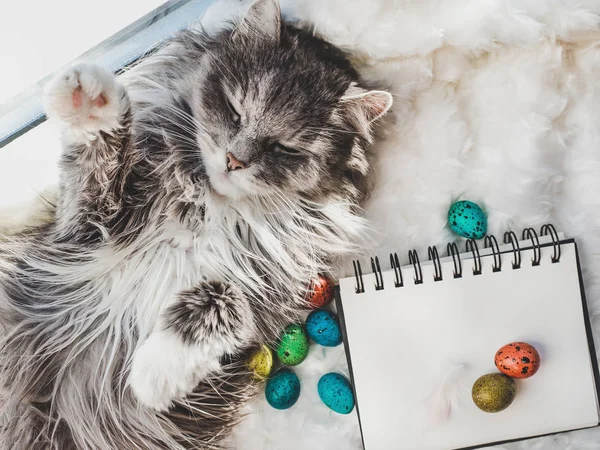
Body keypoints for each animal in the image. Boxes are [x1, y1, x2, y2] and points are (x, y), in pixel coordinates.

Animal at [0, 0, 392, 446]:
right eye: (236, 111)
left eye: (286, 148)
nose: (235, 160)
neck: (206, 207)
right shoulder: (84, 226)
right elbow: (99, 155)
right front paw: (91, 102)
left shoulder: (264, 296)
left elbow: (217, 299)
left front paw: (151, 376)